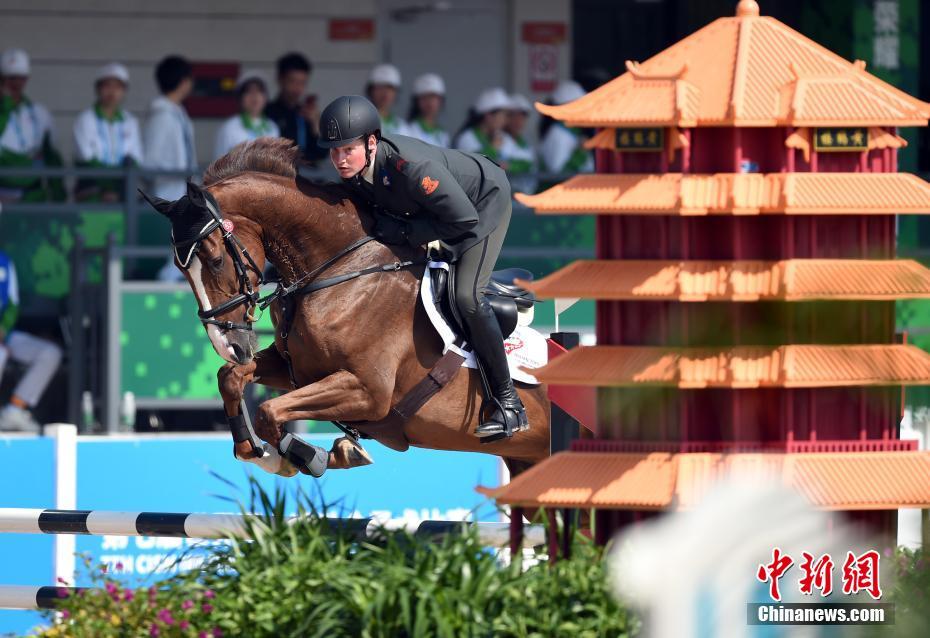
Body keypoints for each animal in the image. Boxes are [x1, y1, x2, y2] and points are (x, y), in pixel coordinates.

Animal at [145, 138, 550, 479]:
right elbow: (230, 378)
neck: (340, 271)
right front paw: (263, 454)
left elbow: (268, 411)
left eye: (215, 260)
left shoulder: (367, 391)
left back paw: (506, 415)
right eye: (180, 268)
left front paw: (318, 455)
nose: (226, 344)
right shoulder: (297, 368)